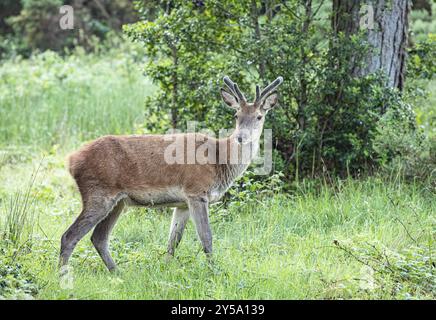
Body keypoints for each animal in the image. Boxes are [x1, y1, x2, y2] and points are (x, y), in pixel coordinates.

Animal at [60, 75, 282, 270]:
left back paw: (118, 273)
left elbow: (173, 242)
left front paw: (166, 269)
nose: (241, 137)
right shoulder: (196, 191)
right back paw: (63, 276)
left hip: (118, 201)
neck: (219, 162)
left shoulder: (182, 203)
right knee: (69, 236)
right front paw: (215, 272)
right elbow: (207, 238)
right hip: (98, 193)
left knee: (98, 237)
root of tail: (71, 160)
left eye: (259, 116)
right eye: (236, 115)